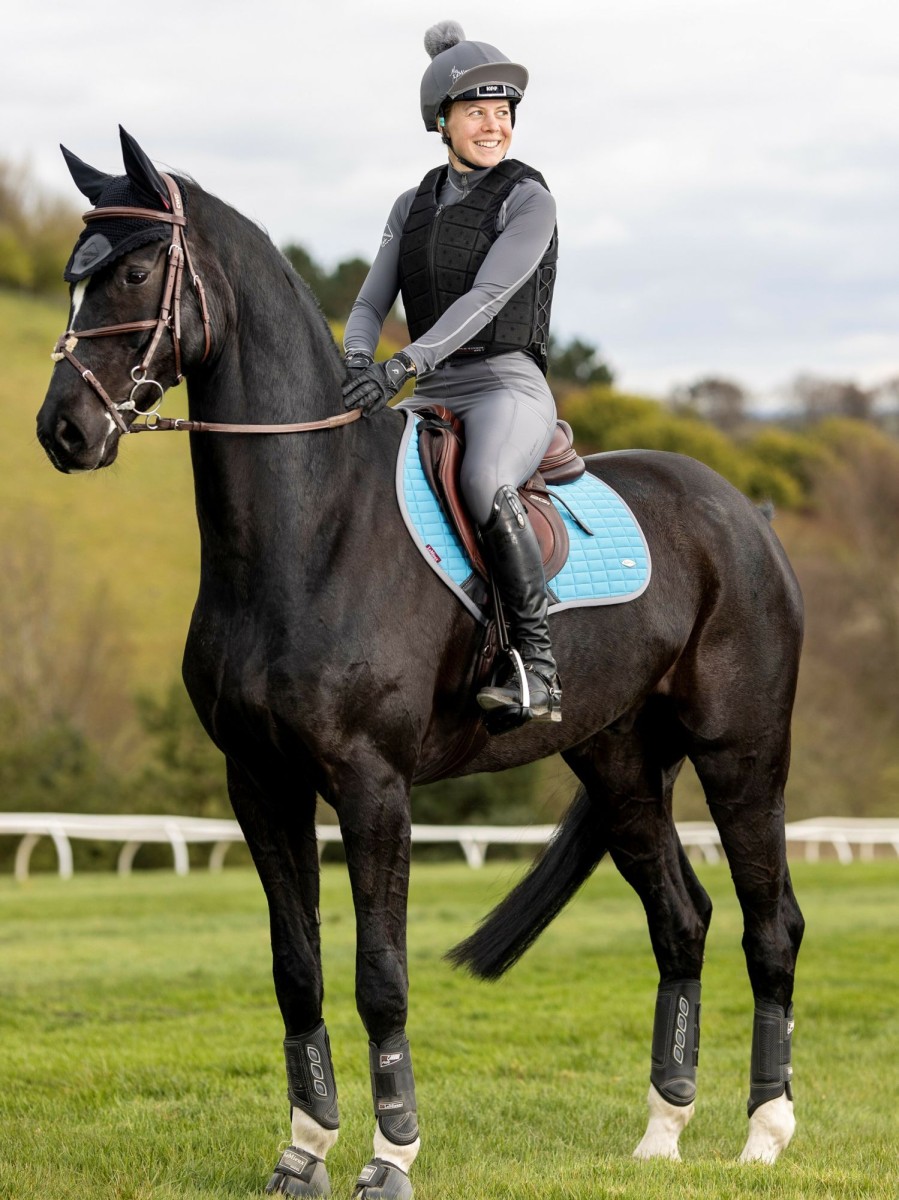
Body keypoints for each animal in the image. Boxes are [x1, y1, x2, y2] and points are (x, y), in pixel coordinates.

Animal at [38, 126, 801, 1195]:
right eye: (75, 275)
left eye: (139, 271)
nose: (64, 430)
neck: (309, 530)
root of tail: (746, 514)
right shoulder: (259, 783)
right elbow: (297, 970)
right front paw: (303, 1151)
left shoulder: (372, 786)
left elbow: (380, 977)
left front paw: (389, 1154)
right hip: (615, 763)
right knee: (678, 919)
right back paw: (661, 1134)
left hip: (741, 754)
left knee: (768, 923)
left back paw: (764, 1133)